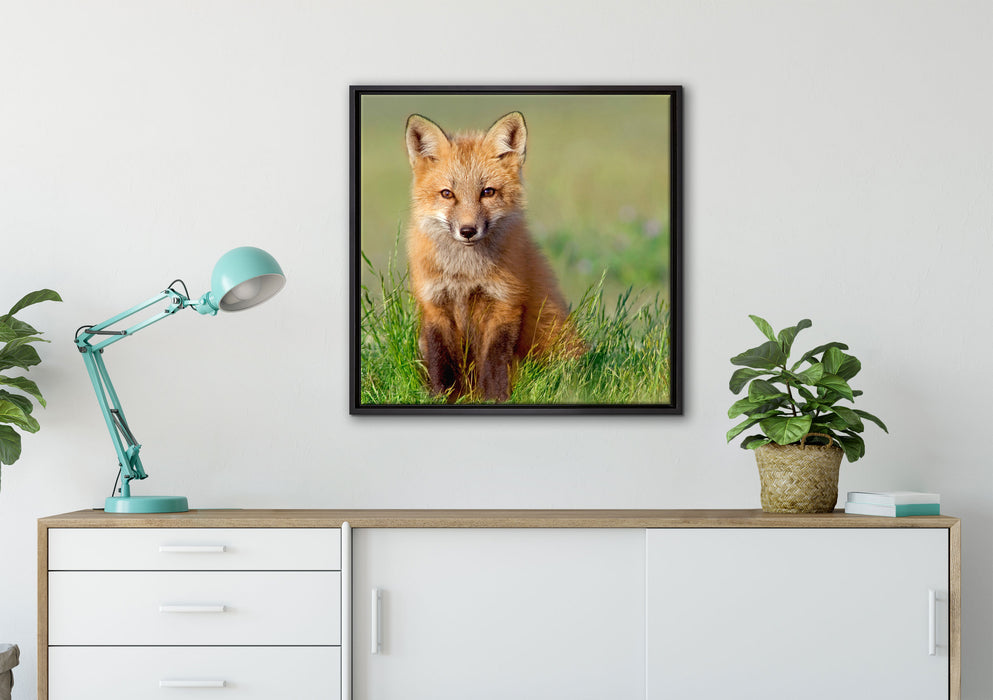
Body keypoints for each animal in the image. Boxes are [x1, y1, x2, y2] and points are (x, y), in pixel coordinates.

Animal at [404, 111, 579, 402]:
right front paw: (441, 397)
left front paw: (495, 398)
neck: (465, 275)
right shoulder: (434, 304)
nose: (467, 231)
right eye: (447, 194)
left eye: (487, 192)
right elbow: (441, 363)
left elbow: (494, 363)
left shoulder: (504, 303)